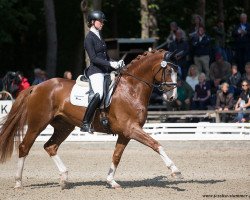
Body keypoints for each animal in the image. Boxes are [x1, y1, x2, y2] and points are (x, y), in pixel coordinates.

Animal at [0, 49, 183, 189]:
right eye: (169, 71)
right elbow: (156, 144)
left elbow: (116, 156)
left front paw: (111, 181)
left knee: (50, 146)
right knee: (24, 147)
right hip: (37, 123)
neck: (131, 89)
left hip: (64, 126)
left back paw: (64, 178)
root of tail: (37, 87)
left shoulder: (125, 133)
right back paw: (18, 182)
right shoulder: (131, 128)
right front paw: (175, 170)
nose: (172, 97)